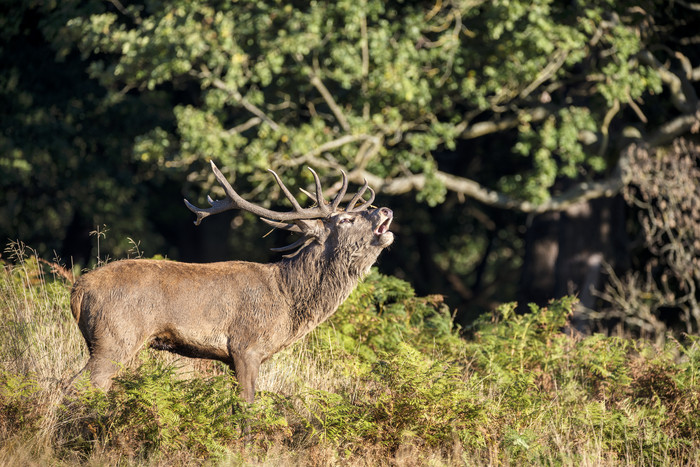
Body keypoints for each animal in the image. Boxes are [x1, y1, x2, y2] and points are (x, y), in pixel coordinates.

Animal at [69, 163, 394, 404]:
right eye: (346, 220)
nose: (386, 210)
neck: (288, 303)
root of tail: (78, 289)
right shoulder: (245, 346)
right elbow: (247, 405)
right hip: (116, 337)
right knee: (79, 385)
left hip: (98, 340)